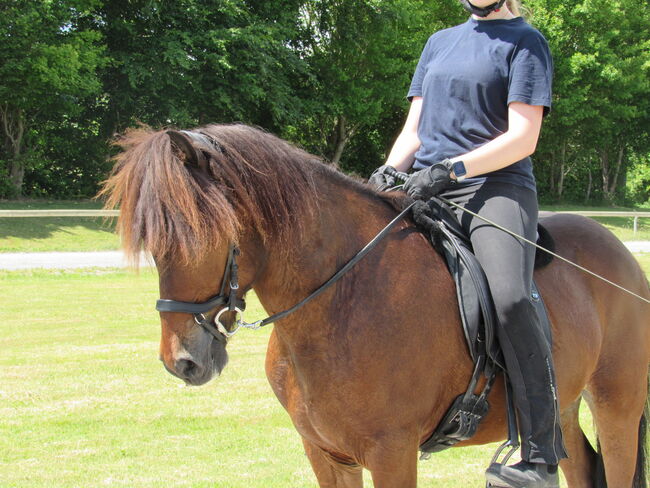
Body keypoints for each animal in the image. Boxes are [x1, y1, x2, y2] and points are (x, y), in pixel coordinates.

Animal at [101, 123, 648, 488]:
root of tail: (621, 254)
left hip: (617, 406)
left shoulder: (392, 453)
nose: (182, 362)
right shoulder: (326, 454)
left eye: (196, 234)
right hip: (564, 409)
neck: (341, 301)